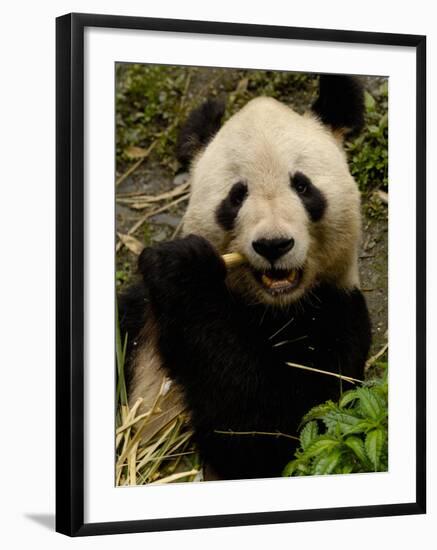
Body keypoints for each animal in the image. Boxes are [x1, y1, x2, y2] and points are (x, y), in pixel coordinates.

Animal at [119, 74, 372, 484]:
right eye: (236, 196)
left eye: (303, 186)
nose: (274, 244)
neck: (273, 308)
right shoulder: (138, 319)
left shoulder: (337, 316)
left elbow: (277, 432)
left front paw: (184, 270)